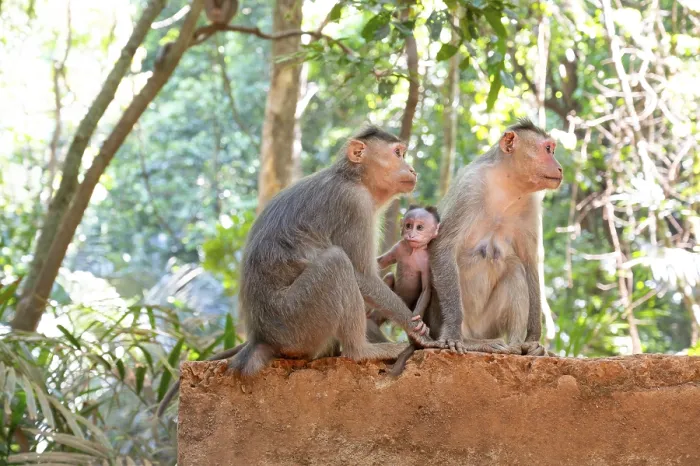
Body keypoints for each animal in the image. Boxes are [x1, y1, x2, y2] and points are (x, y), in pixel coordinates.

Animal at [156, 126, 437, 417]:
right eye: (398, 154)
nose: (412, 169)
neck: (353, 177)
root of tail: (262, 336)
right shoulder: (353, 204)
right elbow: (362, 275)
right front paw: (417, 329)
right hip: (297, 321)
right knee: (336, 262)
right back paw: (360, 351)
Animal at [425, 118, 562, 357]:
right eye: (548, 149)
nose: (560, 167)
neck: (507, 186)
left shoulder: (531, 204)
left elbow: (529, 261)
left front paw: (534, 340)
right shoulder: (470, 188)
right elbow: (442, 246)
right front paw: (452, 335)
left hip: (489, 325)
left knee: (515, 268)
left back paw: (516, 345)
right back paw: (472, 343)